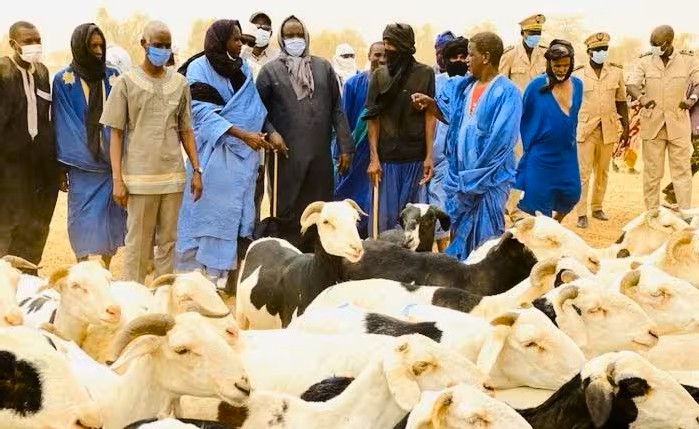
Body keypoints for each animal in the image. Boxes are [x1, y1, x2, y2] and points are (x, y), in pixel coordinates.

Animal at [236, 200, 365, 330]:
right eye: (326, 221)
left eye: (355, 220)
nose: (356, 248)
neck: (310, 275)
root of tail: (266, 238)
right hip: (241, 312)